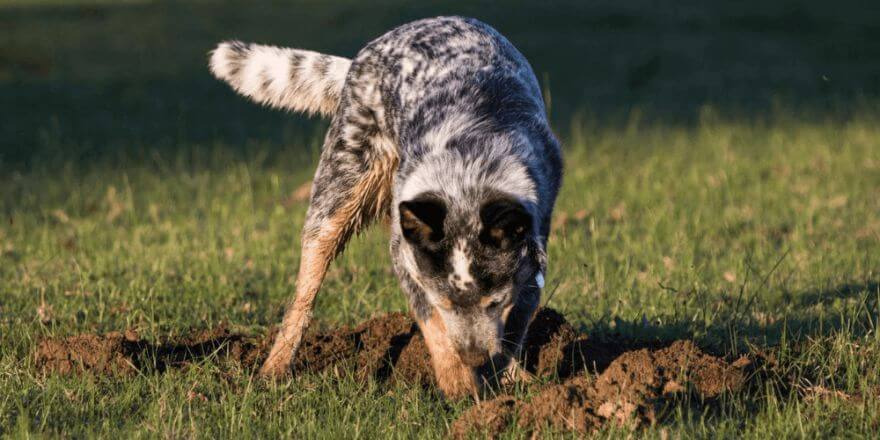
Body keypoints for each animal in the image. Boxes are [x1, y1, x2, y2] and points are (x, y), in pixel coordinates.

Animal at [210, 15, 560, 398]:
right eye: (443, 301)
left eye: (494, 302)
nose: (473, 358)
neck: (469, 168)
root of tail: (365, 55)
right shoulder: (407, 258)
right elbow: (433, 324)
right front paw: (458, 386)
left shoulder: (533, 255)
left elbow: (515, 324)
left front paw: (508, 380)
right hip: (336, 198)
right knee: (302, 297)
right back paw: (274, 369)